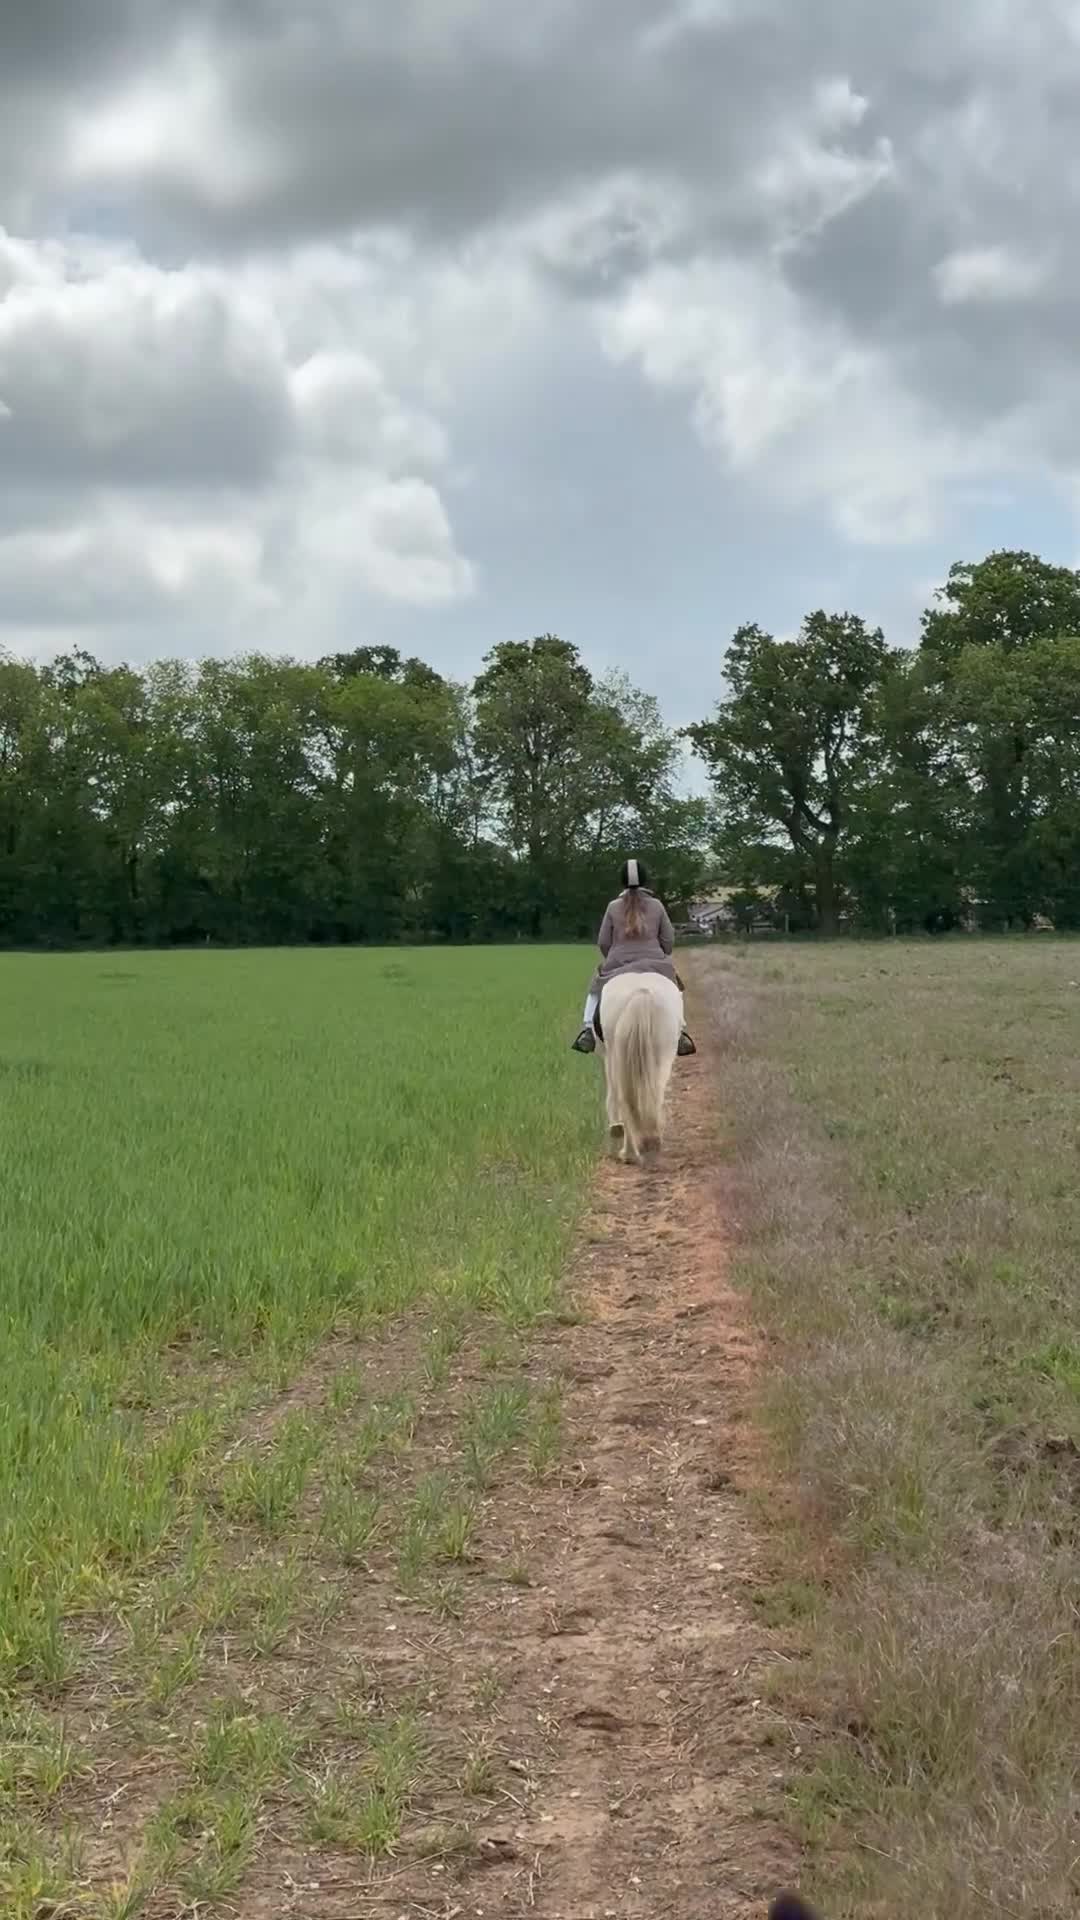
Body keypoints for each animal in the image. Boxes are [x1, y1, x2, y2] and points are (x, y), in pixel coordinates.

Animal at [597, 970, 683, 1164]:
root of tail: (642, 994)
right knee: (653, 1097)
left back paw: (628, 1151)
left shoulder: (607, 1058)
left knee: (625, 1099)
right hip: (662, 1056)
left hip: (616, 1056)